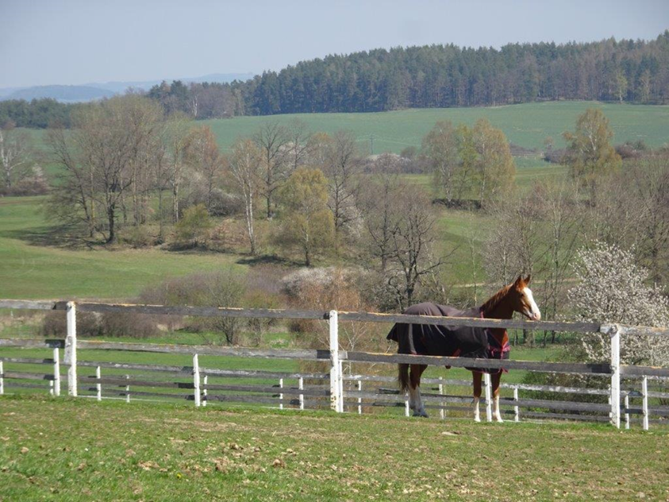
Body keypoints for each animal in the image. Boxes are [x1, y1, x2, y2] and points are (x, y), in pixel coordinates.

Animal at [386, 275, 541, 422]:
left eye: (531, 293)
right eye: (521, 294)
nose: (537, 315)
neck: (489, 328)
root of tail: (406, 311)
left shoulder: (497, 368)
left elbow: (495, 392)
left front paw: (498, 418)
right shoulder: (477, 366)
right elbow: (477, 391)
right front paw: (476, 417)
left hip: (423, 358)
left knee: (414, 379)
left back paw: (416, 410)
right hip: (415, 355)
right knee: (415, 381)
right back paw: (420, 410)